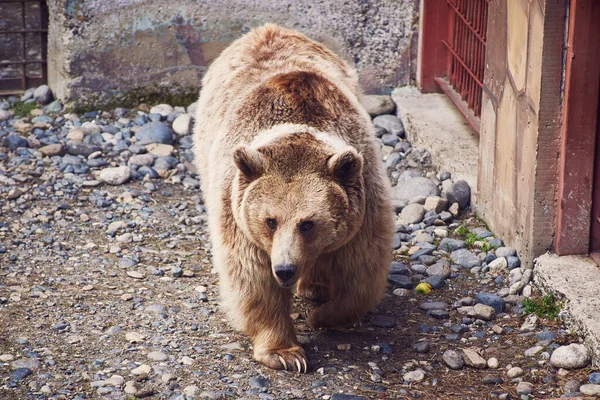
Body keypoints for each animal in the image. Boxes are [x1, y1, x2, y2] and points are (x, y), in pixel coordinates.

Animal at [192, 23, 396, 374]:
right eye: (270, 221)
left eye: (308, 223)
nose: (285, 269)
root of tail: (267, 29)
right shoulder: (239, 216)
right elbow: (254, 280)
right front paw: (286, 352)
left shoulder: (363, 203)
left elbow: (361, 274)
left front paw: (322, 315)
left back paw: (313, 286)